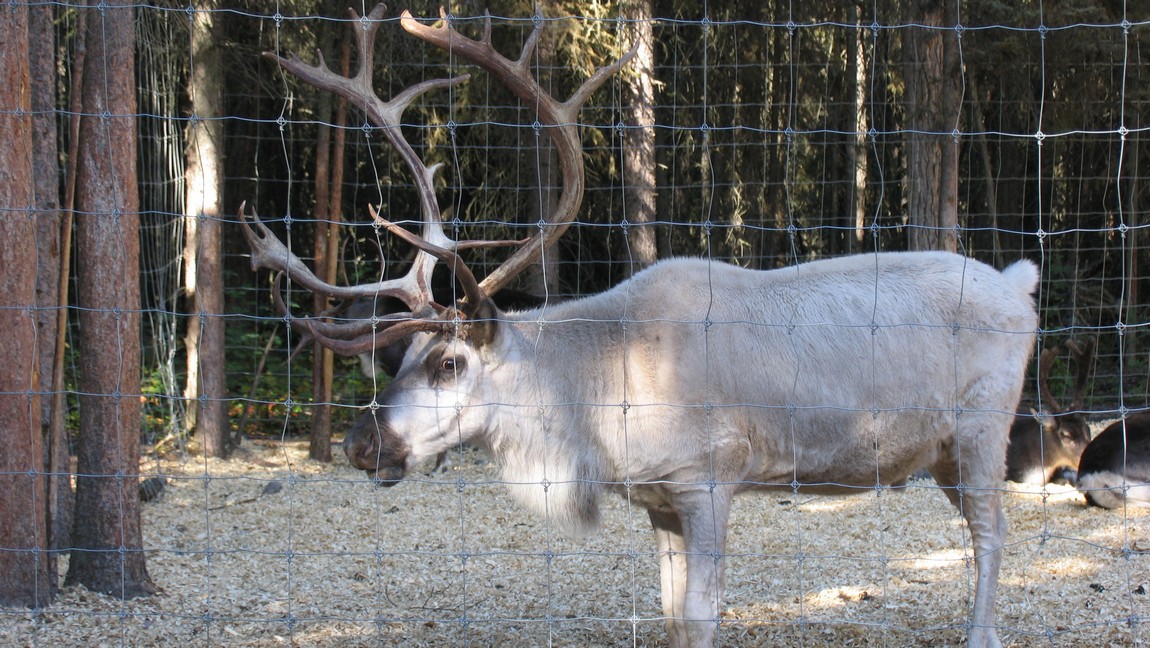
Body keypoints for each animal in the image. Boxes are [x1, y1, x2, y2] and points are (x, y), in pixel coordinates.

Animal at [239, 6, 1039, 648]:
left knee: (994, 534)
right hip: (940, 451)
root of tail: (1019, 286)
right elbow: (671, 616)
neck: (600, 405)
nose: (359, 443)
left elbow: (704, 616)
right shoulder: (660, 500)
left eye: (448, 363)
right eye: (401, 353)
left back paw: (982, 634)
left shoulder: (711, 477)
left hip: (981, 427)